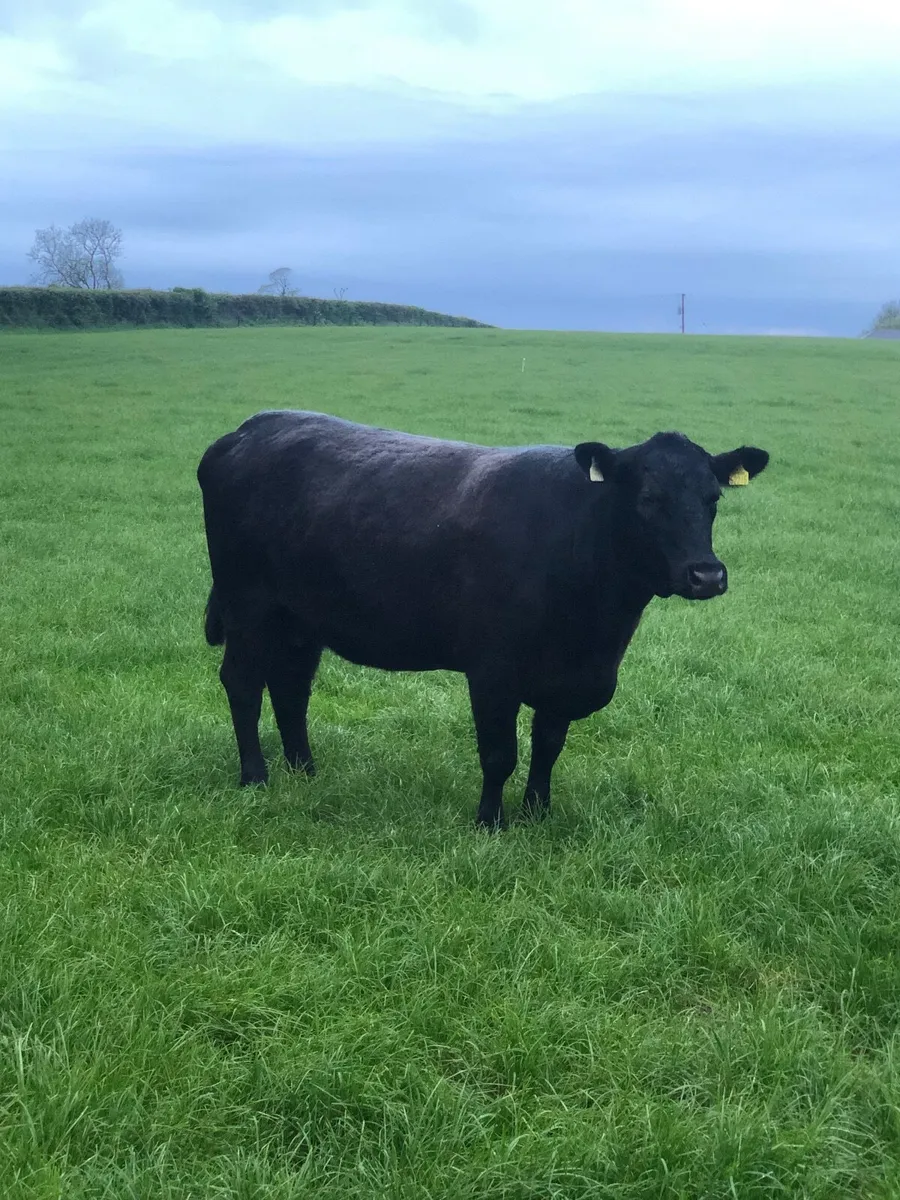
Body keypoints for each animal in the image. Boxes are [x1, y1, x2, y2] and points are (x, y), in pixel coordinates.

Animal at [198, 411, 769, 828]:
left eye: (713, 498)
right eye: (649, 498)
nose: (707, 574)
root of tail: (249, 428)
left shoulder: (565, 677)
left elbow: (548, 748)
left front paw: (537, 815)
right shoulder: (493, 671)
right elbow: (500, 754)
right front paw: (490, 823)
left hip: (300, 618)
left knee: (291, 689)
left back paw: (306, 772)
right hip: (248, 604)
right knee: (243, 683)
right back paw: (256, 777)